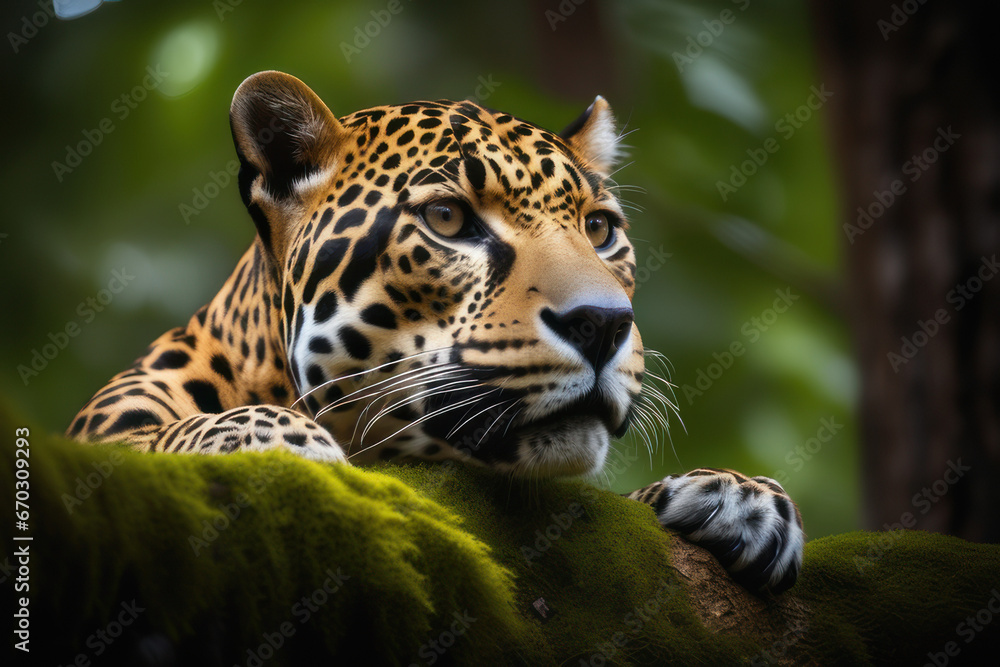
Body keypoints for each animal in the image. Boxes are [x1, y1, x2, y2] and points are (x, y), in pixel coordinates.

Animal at [67, 71, 804, 594]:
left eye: (600, 229)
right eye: (448, 220)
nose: (603, 324)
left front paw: (736, 497)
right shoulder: (104, 432)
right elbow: (165, 435)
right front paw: (280, 442)